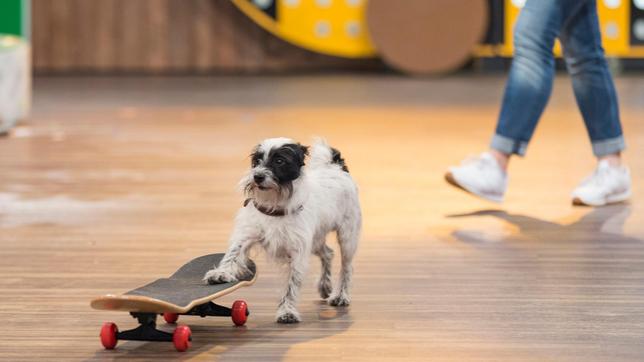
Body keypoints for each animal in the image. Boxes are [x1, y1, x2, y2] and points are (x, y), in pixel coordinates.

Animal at [204, 137, 360, 324]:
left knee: (346, 267)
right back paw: (325, 286)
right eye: (256, 161)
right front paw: (221, 273)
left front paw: (287, 311)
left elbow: (291, 285)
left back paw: (341, 295)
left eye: (279, 161)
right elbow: (232, 255)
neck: (275, 203)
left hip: (347, 238)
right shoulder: (247, 235)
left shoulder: (297, 253)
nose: (257, 176)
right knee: (328, 254)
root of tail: (336, 166)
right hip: (315, 240)